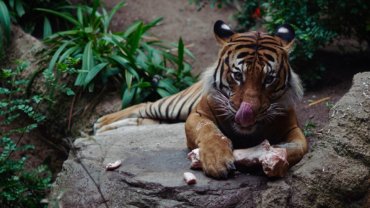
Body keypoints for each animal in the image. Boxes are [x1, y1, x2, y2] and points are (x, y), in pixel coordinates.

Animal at [94, 19, 308, 179]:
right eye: (238, 75)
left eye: (269, 79)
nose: (248, 113)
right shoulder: (197, 114)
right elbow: (209, 131)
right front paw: (217, 161)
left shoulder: (293, 128)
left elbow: (299, 148)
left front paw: (274, 163)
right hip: (175, 105)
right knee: (146, 105)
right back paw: (101, 123)